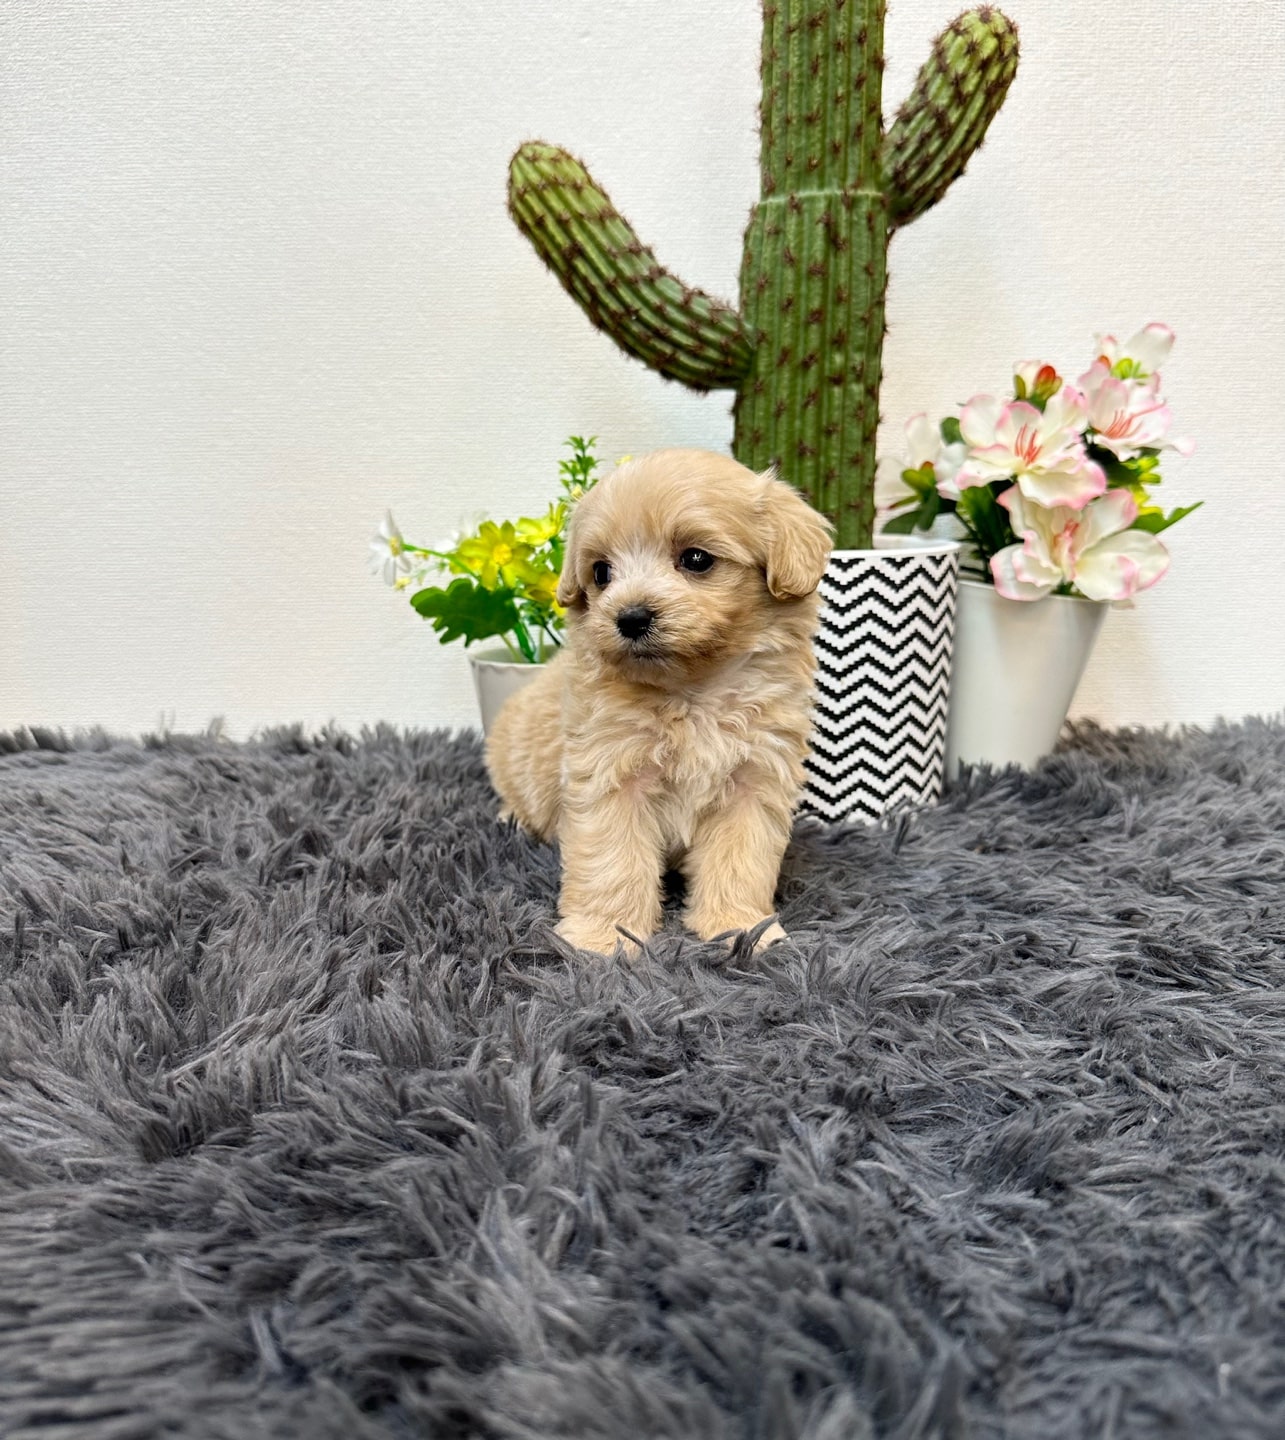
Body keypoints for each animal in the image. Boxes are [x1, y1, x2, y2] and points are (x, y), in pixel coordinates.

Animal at [485, 448, 831, 955]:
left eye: (696, 559)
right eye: (601, 572)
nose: (630, 617)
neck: (692, 692)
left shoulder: (753, 781)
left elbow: (740, 860)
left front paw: (741, 927)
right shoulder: (609, 776)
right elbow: (611, 863)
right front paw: (601, 937)